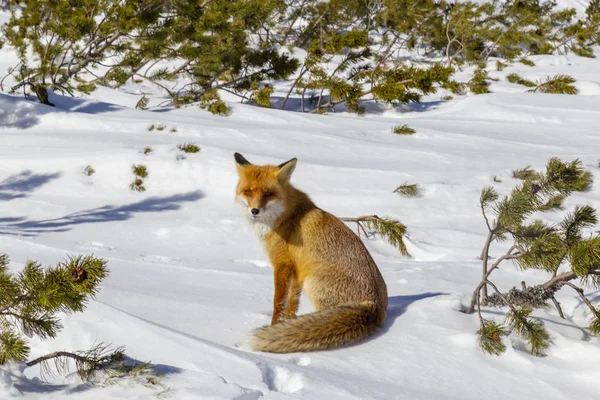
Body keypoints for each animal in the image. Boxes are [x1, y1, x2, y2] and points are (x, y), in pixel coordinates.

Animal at [232, 152, 386, 352]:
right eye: (248, 191)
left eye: (268, 194)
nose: (255, 210)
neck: (284, 216)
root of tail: (374, 305)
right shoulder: (296, 270)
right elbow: (291, 304)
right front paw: (286, 324)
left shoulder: (281, 264)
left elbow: (278, 303)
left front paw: (274, 325)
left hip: (312, 283)